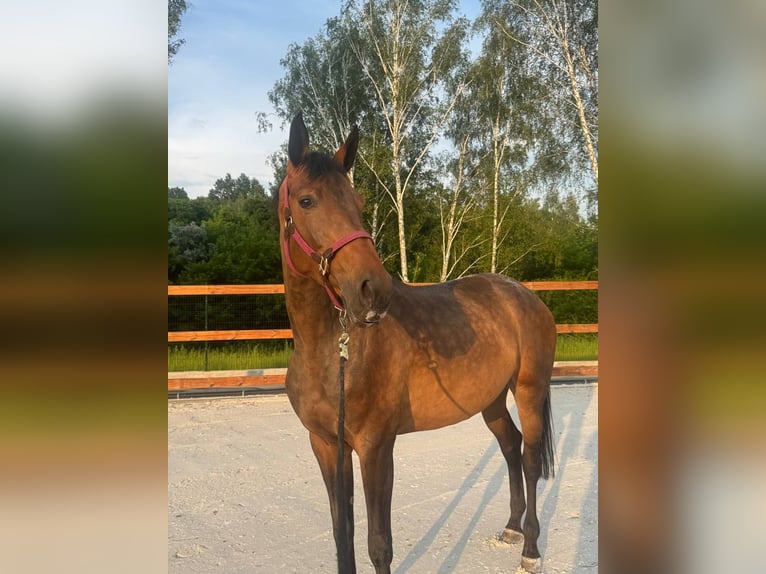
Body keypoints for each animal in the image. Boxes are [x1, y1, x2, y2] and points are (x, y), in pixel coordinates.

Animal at [277, 112, 557, 574]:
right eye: (306, 201)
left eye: (358, 201)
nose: (373, 290)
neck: (331, 353)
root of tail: (525, 296)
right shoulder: (326, 445)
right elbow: (341, 536)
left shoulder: (376, 446)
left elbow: (378, 543)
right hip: (492, 401)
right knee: (510, 446)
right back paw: (512, 527)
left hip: (530, 391)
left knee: (532, 460)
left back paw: (530, 549)